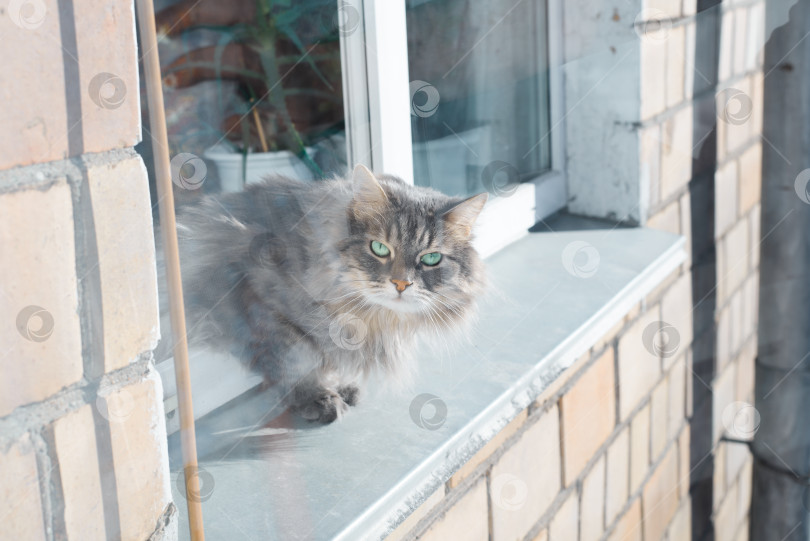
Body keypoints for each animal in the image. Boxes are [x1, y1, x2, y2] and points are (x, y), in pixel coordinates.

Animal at [161, 163, 482, 422]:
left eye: (431, 259)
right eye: (379, 248)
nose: (401, 284)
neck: (368, 314)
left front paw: (339, 385)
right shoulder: (261, 301)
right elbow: (299, 359)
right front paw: (317, 397)